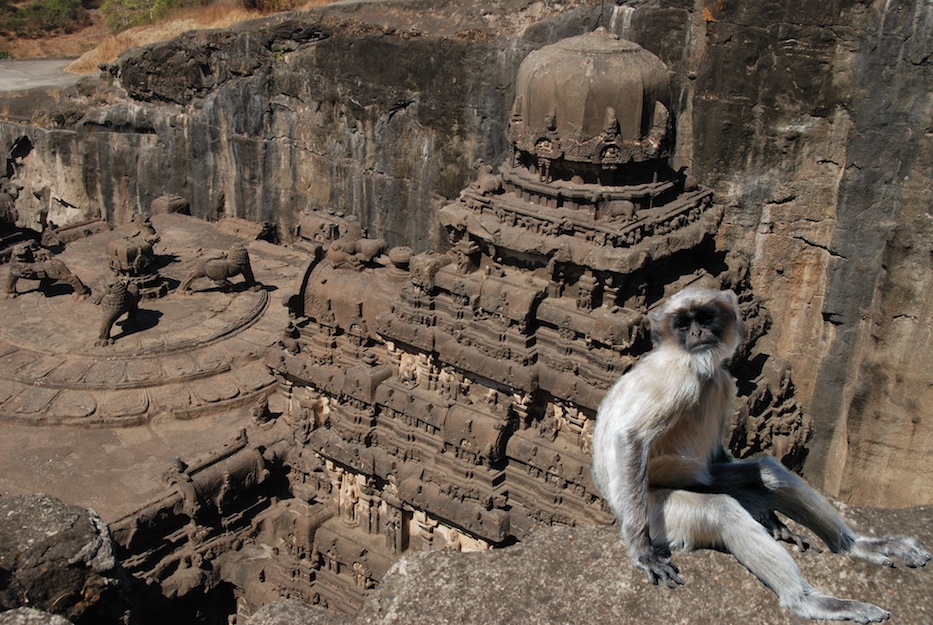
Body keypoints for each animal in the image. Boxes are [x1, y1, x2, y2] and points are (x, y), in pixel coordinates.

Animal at [592, 288, 928, 620]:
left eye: (705, 317)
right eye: (683, 325)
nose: (697, 332)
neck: (693, 365)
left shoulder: (724, 381)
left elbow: (718, 455)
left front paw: (773, 521)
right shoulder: (676, 380)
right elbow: (631, 438)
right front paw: (643, 551)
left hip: (699, 480)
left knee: (767, 472)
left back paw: (855, 546)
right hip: (657, 510)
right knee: (723, 510)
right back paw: (808, 601)